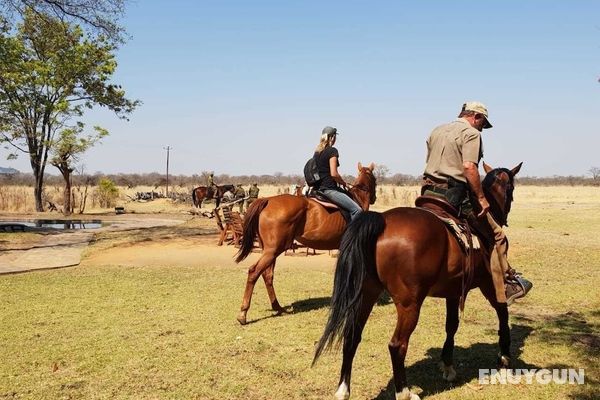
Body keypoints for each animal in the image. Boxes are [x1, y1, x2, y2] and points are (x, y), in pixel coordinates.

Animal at [233, 162, 376, 324]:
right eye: (374, 179)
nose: (374, 198)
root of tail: (268, 200)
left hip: (270, 251)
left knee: (267, 274)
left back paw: (278, 308)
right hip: (273, 250)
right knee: (254, 272)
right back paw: (243, 313)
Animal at [312, 162, 524, 400]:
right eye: (511, 188)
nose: (504, 215)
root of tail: (381, 221)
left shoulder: (453, 291)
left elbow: (451, 325)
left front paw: (448, 366)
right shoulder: (489, 283)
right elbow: (502, 313)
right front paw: (504, 358)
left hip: (367, 293)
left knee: (351, 337)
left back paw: (343, 389)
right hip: (409, 304)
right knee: (397, 345)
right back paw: (404, 392)